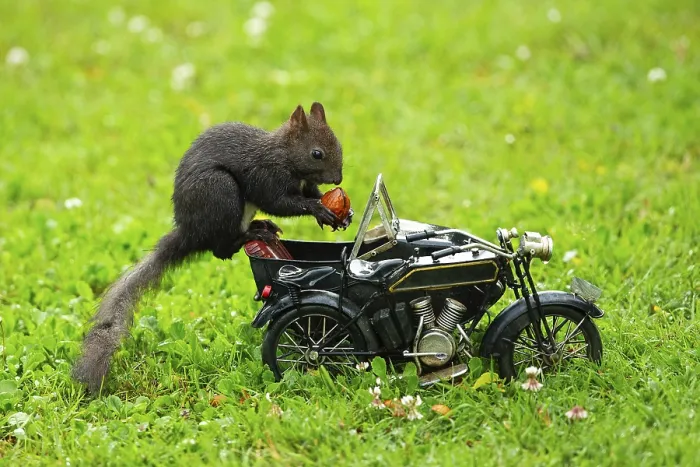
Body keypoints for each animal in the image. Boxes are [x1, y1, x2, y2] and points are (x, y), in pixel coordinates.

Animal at [72, 102, 344, 394]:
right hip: (219, 192)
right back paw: (252, 233)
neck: (284, 155)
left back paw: (261, 226)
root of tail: (190, 233)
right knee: (221, 249)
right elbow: (279, 202)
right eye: (316, 153)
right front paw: (317, 208)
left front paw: (338, 212)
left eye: (337, 143)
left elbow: (311, 193)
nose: (338, 178)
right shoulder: (266, 175)